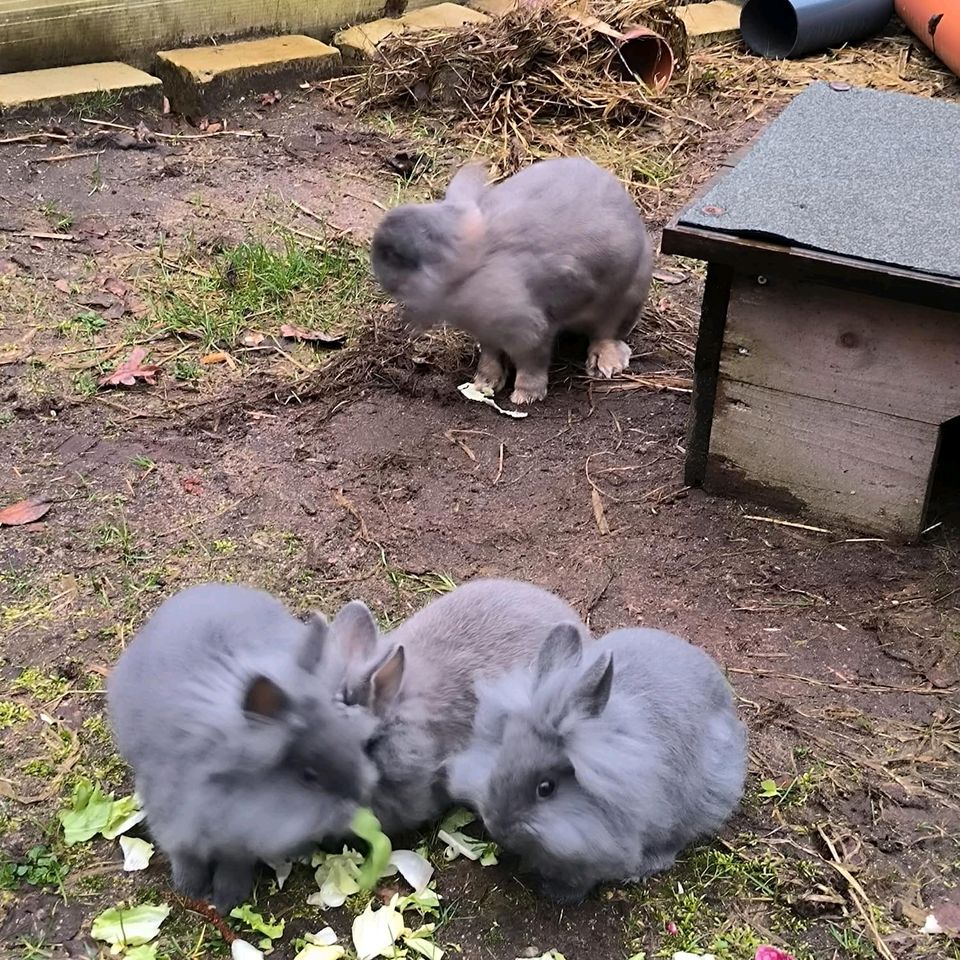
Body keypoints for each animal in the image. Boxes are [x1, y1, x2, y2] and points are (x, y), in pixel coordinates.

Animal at [105, 580, 376, 912]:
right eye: (308, 776)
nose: (359, 800)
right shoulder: (172, 816)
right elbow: (184, 854)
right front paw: (190, 889)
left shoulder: (242, 836)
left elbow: (235, 861)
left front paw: (227, 898)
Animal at [368, 156, 652, 404]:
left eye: (398, 255)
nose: (377, 267)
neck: (472, 267)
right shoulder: (488, 333)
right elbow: (491, 356)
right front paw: (484, 383)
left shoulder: (530, 332)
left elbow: (531, 363)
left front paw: (525, 396)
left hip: (625, 299)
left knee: (606, 332)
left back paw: (606, 364)